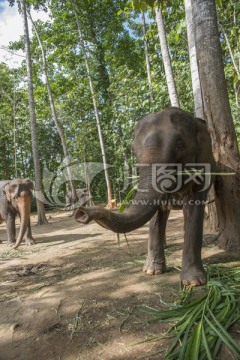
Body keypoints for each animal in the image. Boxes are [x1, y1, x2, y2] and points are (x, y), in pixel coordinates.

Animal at [74, 107, 215, 286]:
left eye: (180, 144)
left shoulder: (202, 171)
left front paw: (193, 282)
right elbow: (155, 215)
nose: (81, 213)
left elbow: (193, 210)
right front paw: (151, 271)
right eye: (133, 151)